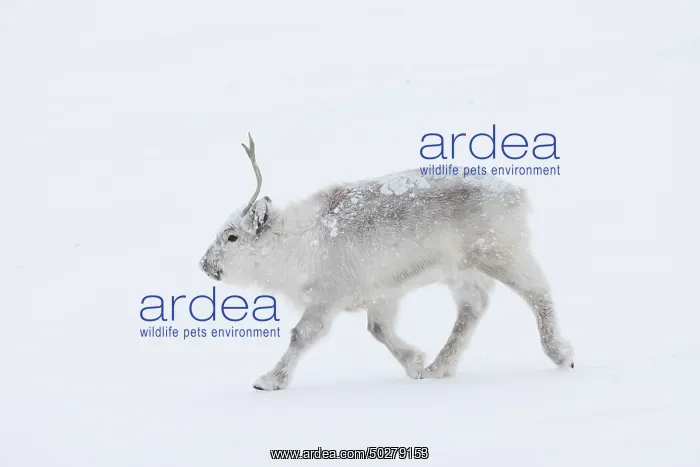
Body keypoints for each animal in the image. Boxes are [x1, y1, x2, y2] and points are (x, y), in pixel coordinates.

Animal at [199, 133, 574, 391]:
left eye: (232, 237)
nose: (204, 264)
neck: (295, 244)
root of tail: (518, 194)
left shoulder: (327, 296)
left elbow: (301, 335)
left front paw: (269, 379)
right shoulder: (382, 293)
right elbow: (378, 329)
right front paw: (415, 363)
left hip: (501, 251)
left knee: (537, 291)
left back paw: (561, 354)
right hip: (460, 270)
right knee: (474, 306)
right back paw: (438, 367)